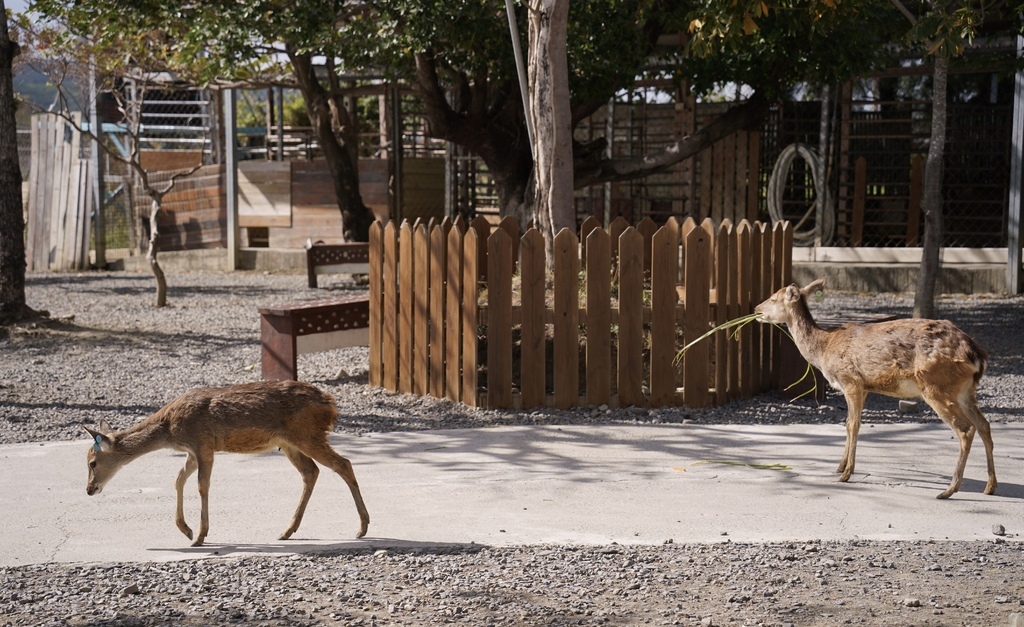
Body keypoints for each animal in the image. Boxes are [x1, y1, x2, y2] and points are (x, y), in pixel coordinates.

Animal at [83, 379, 370, 545]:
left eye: (92, 462)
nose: (89, 489)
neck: (171, 430)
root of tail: (330, 404)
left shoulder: (203, 444)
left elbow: (202, 486)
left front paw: (199, 536)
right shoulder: (192, 451)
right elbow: (177, 480)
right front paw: (186, 530)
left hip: (306, 434)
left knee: (343, 463)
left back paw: (362, 528)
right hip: (290, 443)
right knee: (311, 471)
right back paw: (287, 531)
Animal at [757, 278, 995, 499]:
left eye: (774, 298)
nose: (757, 309)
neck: (824, 349)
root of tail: (977, 355)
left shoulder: (851, 380)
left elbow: (853, 425)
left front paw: (846, 474)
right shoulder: (864, 387)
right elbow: (847, 423)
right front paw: (840, 466)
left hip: (935, 384)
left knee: (965, 429)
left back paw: (949, 489)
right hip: (964, 390)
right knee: (983, 424)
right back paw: (990, 486)